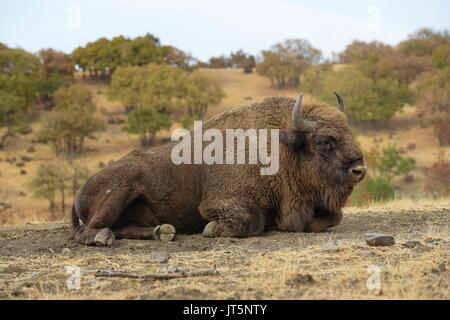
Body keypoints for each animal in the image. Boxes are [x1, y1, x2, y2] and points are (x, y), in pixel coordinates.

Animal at [70, 92, 366, 245]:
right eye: (324, 141)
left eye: (349, 132)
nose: (359, 170)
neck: (280, 147)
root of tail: (79, 191)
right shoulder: (217, 202)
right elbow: (252, 221)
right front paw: (212, 229)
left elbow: (333, 217)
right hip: (122, 187)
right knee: (89, 230)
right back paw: (104, 237)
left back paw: (162, 231)